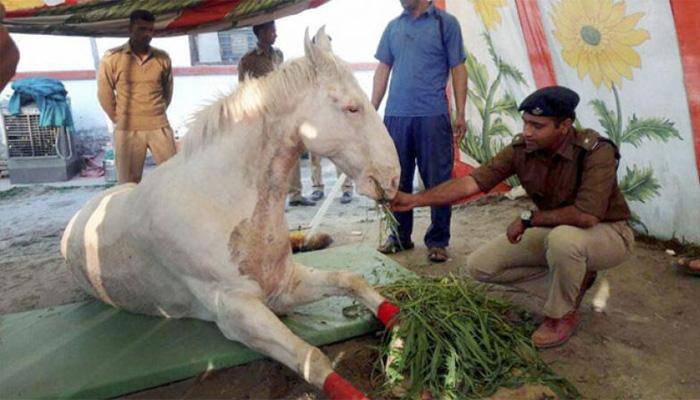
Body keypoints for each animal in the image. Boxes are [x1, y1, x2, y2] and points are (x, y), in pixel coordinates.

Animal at [63, 28, 402, 400]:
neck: (220, 201)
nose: (393, 179)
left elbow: (352, 281)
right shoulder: (238, 311)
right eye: (352, 107)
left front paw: (403, 346)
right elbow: (311, 358)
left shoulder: (283, 286)